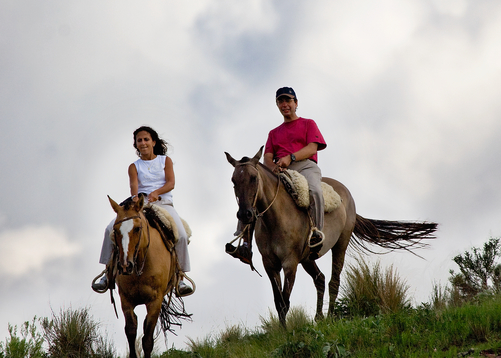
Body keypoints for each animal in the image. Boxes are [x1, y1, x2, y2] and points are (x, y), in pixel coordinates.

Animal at [108, 196, 189, 358]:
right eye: (115, 230)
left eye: (137, 228)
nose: (125, 266)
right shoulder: (125, 300)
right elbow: (131, 331)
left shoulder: (154, 301)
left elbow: (147, 339)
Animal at [225, 147, 436, 326]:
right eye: (234, 181)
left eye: (253, 178)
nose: (245, 215)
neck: (275, 218)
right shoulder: (270, 264)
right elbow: (279, 302)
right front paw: (282, 333)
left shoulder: (290, 263)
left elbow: (285, 301)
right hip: (307, 258)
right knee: (320, 278)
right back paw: (319, 318)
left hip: (340, 244)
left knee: (334, 281)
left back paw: (330, 317)